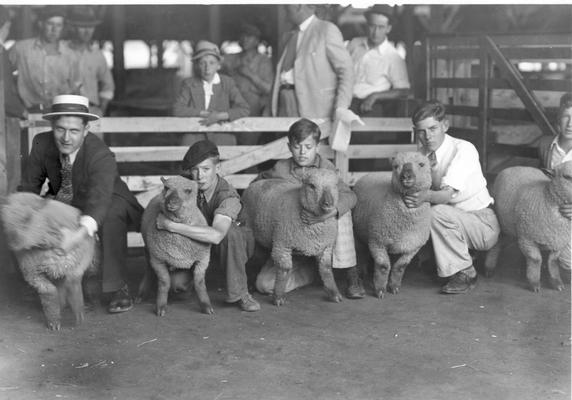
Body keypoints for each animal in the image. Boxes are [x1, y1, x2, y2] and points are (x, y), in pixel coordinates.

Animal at [0, 192, 98, 330]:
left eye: (27, 218)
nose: (14, 241)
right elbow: (54, 290)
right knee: (68, 283)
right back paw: (73, 313)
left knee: (59, 287)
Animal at [137, 176, 212, 316]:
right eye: (166, 187)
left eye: (188, 190)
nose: (170, 203)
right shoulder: (158, 260)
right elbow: (164, 283)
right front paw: (161, 307)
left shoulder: (203, 260)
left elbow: (199, 283)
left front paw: (206, 306)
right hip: (148, 251)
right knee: (148, 270)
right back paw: (141, 294)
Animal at [240, 167, 342, 304]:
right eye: (311, 185)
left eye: (335, 185)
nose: (328, 203)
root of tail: (253, 184)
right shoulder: (282, 244)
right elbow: (284, 269)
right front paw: (278, 297)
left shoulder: (326, 247)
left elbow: (326, 269)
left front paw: (334, 293)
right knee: (251, 260)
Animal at [350, 152, 432, 298]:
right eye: (396, 166)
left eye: (422, 164)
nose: (406, 176)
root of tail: (369, 174)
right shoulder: (377, 241)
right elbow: (383, 266)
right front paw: (380, 290)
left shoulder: (413, 246)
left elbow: (400, 266)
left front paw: (394, 287)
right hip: (358, 233)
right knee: (360, 253)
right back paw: (361, 272)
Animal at [482, 161, 572, 292]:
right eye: (567, 177)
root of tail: (516, 166)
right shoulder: (528, 239)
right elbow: (536, 260)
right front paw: (534, 283)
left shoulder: (558, 242)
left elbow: (553, 261)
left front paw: (556, 282)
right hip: (502, 223)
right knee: (496, 244)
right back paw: (489, 268)